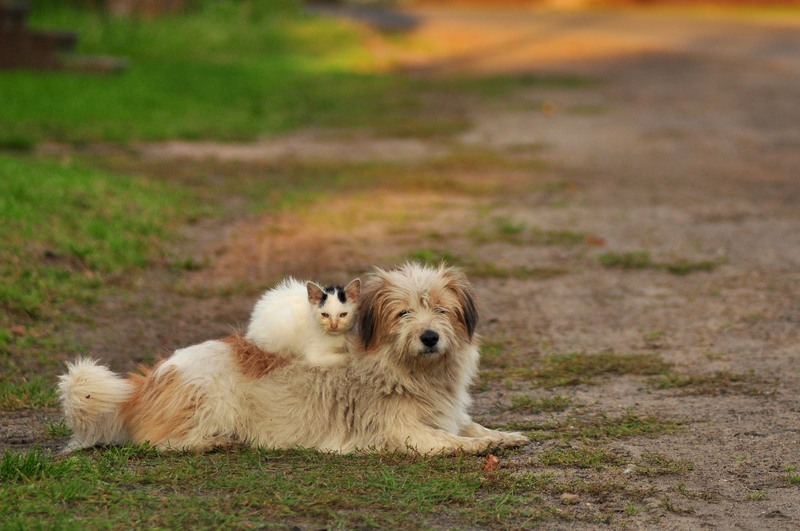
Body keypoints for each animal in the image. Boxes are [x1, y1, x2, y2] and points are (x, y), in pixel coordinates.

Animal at [59, 264, 528, 456]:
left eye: (442, 311)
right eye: (404, 313)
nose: (430, 337)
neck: (410, 369)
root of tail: (146, 381)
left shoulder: (446, 413)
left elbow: (469, 425)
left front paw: (501, 435)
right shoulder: (400, 430)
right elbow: (448, 441)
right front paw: (480, 446)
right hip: (209, 402)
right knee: (155, 441)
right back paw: (214, 442)